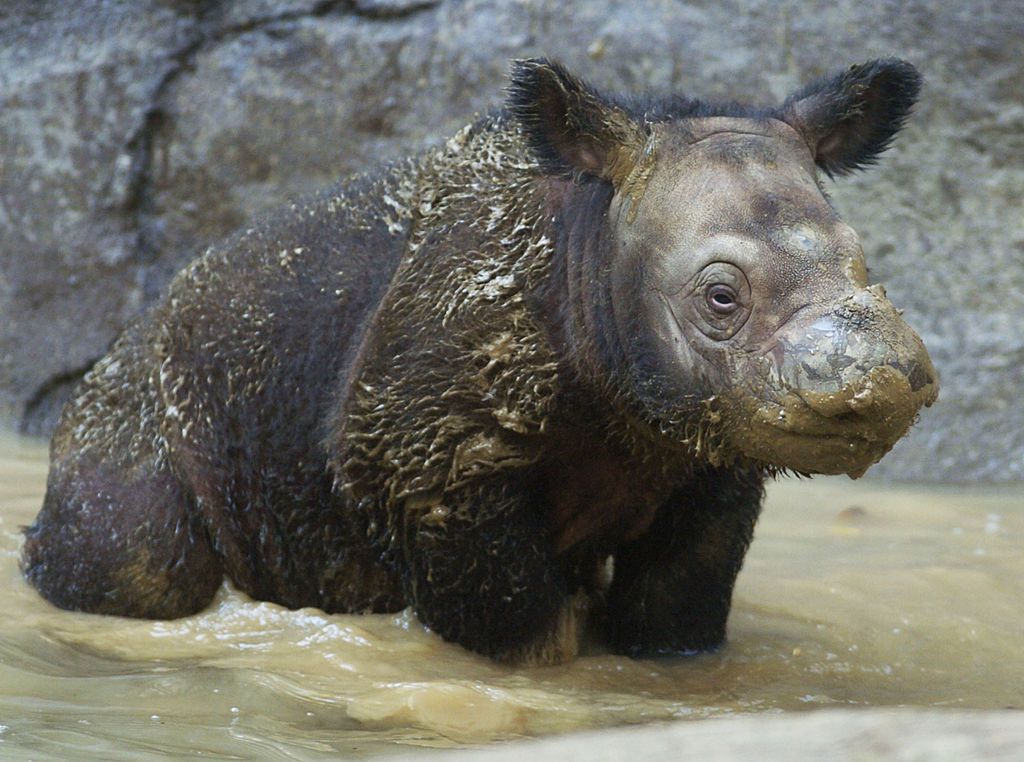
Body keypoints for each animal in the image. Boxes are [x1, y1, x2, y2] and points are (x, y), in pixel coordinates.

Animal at [24, 58, 937, 659]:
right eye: (720, 298)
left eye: (865, 263)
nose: (884, 383)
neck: (592, 237)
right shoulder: (420, 459)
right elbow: (520, 626)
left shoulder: (711, 445)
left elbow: (675, 611)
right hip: (135, 406)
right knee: (142, 562)